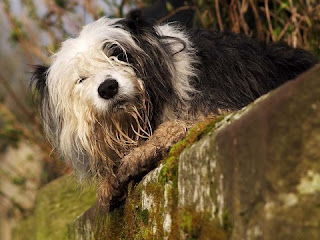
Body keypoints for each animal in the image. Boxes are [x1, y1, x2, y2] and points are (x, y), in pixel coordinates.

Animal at [31, 13, 316, 208]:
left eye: (119, 55)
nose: (108, 87)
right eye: (81, 79)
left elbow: (176, 125)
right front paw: (108, 181)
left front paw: (137, 155)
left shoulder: (214, 107)